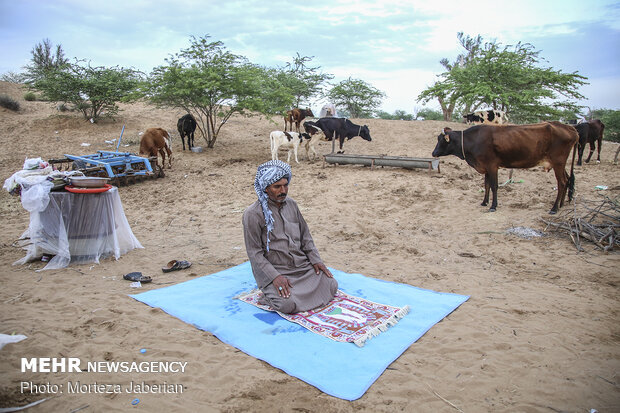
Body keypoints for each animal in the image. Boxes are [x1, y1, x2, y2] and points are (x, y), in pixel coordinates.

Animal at [434, 120, 580, 214]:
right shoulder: (486, 167)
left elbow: (494, 186)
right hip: (560, 164)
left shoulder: (492, 166)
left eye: (441, 140)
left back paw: (554, 208)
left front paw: (493, 206)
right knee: (567, 179)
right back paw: (561, 204)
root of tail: (571, 128)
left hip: (558, 162)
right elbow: (486, 185)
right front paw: (484, 202)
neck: (473, 140)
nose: (433, 153)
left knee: (562, 182)